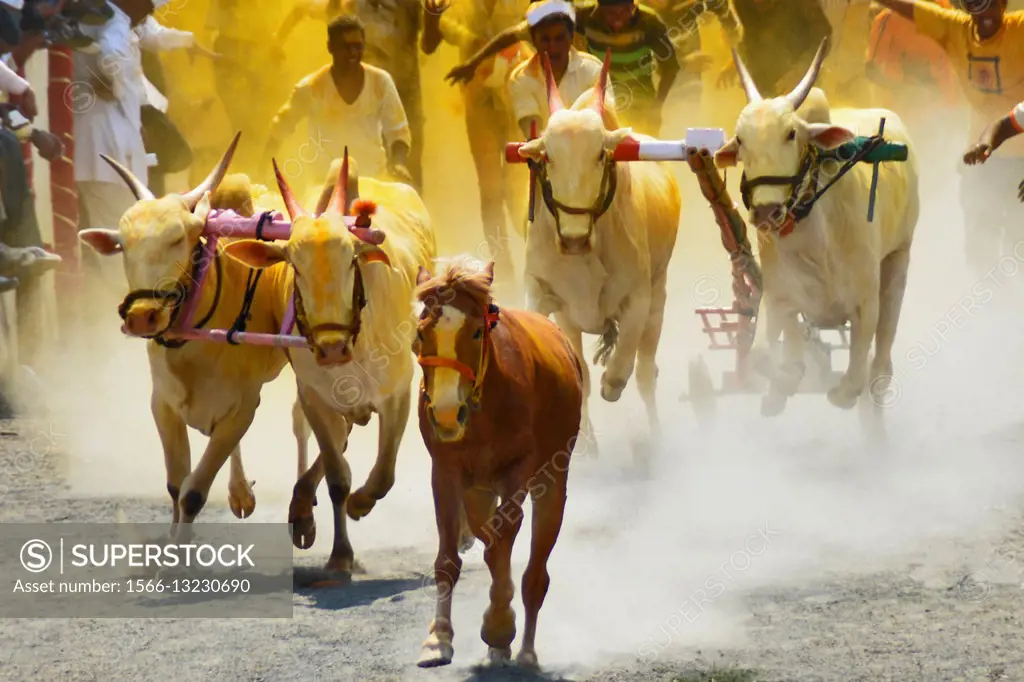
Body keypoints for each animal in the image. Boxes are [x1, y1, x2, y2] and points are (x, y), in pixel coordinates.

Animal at [409, 253, 585, 663]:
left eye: (476, 332)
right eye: (421, 334)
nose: (446, 413)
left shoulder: (517, 470)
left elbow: (504, 538)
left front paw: (500, 624)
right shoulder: (446, 470)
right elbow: (451, 556)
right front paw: (438, 637)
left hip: (551, 478)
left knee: (534, 563)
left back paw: (524, 650)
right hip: (478, 486)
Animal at [712, 41, 921, 419]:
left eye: (791, 133)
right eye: (741, 139)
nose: (766, 211)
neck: (816, 247)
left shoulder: (865, 302)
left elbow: (853, 377)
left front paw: (844, 391)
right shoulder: (780, 298)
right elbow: (775, 356)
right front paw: (780, 385)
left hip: (899, 255)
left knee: (884, 344)